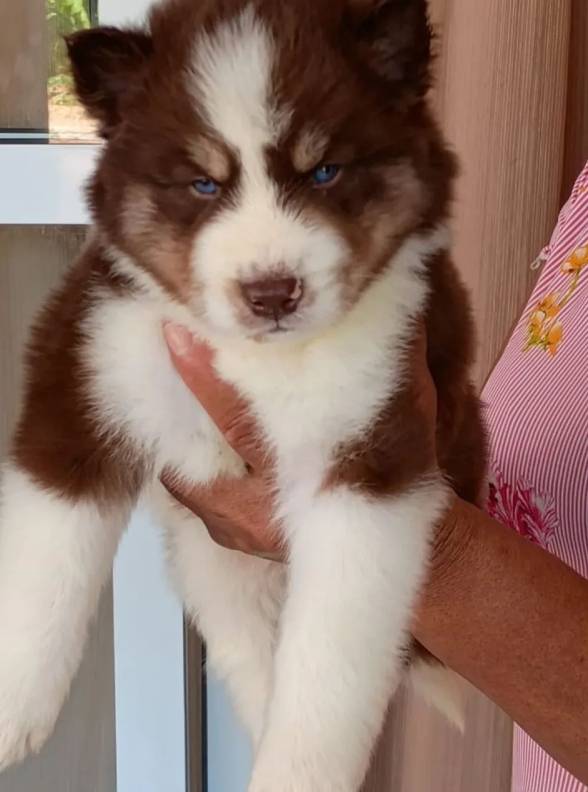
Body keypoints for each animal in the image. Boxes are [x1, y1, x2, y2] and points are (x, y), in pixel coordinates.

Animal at [0, 0, 486, 788]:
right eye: (203, 184)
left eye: (324, 172)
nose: (272, 292)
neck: (256, 359)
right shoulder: (86, 372)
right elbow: (42, 564)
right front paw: (11, 710)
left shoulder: (372, 449)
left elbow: (330, 663)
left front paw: (299, 774)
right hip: (215, 568)